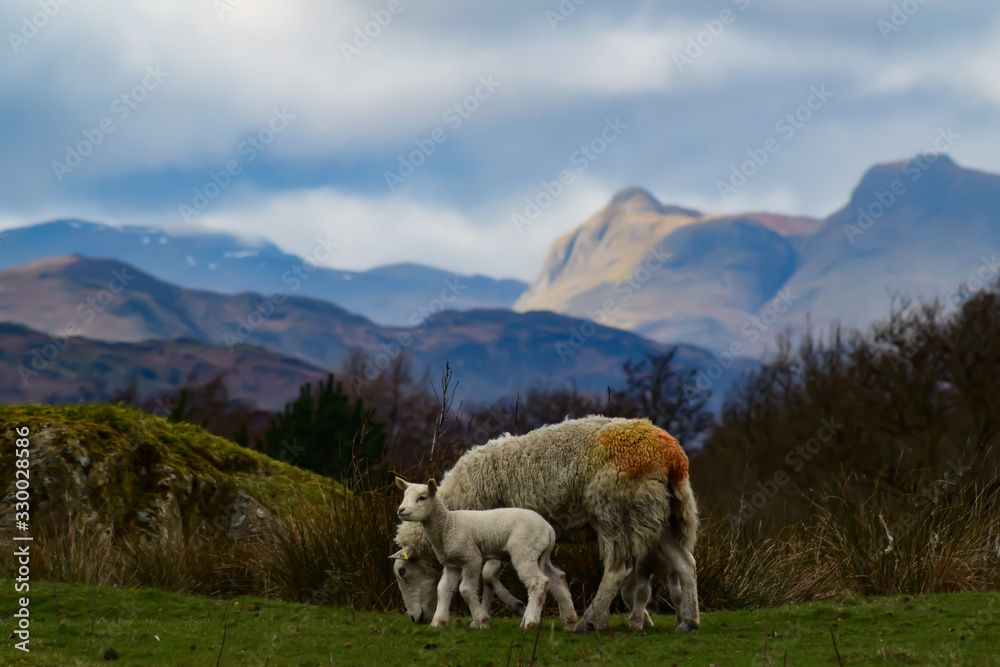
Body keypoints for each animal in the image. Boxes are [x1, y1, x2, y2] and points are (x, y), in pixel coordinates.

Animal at [395, 477, 578, 630]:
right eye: (404, 495)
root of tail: (548, 528)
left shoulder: (471, 558)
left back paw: (530, 621)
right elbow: (443, 589)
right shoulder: (452, 564)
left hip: (525, 551)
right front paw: (438, 622)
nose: (401, 510)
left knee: (538, 582)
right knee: (556, 578)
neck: (448, 525)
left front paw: (481, 620)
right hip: (540, 555)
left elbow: (465, 589)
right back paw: (569, 621)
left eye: (422, 497)